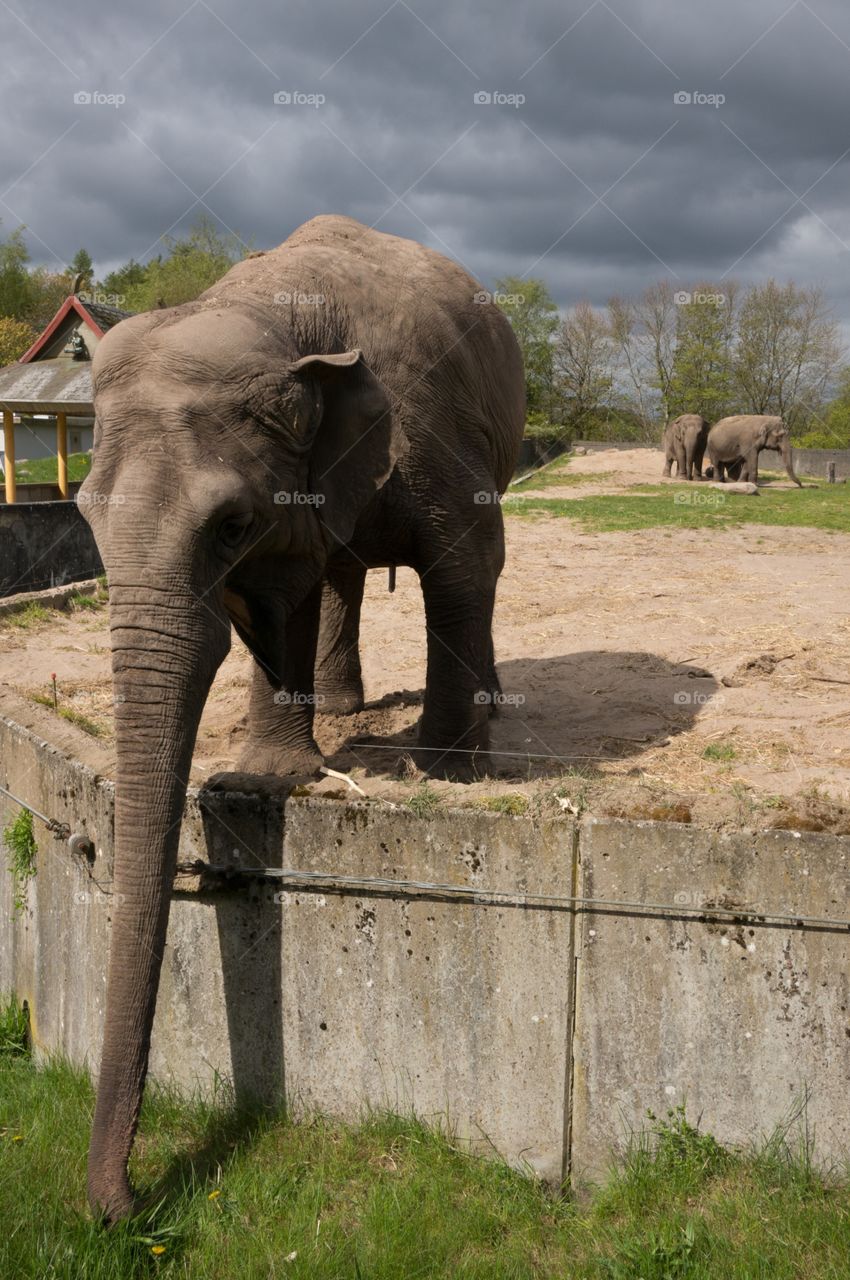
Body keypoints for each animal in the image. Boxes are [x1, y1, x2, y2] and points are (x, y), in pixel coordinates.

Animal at [77, 214, 525, 1221]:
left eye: (229, 523)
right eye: (80, 513)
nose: (125, 1207)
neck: (274, 319)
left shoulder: (426, 416)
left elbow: (465, 559)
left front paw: (444, 771)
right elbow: (281, 594)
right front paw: (265, 777)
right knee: (339, 572)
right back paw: (351, 707)